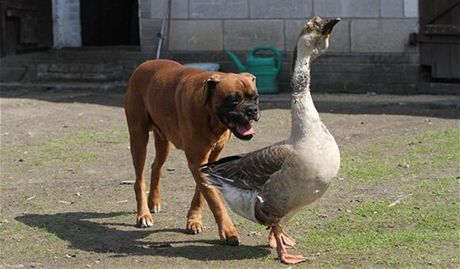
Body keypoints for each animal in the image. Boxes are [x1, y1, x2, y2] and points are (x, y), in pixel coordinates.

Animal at [123, 59, 258, 244]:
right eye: (234, 100)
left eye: (255, 98)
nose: (252, 110)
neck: (211, 115)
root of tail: (144, 64)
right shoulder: (196, 161)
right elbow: (214, 199)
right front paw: (228, 230)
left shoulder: (208, 161)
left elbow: (202, 193)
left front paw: (194, 220)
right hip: (138, 139)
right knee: (139, 180)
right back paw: (143, 214)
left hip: (163, 140)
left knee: (156, 167)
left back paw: (154, 201)